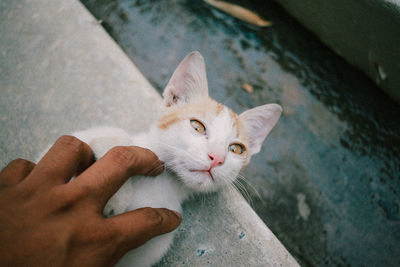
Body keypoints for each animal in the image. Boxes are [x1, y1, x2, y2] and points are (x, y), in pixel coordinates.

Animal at [70, 51, 282, 266]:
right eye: (197, 126)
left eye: (236, 149)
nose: (217, 158)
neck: (166, 183)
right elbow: (115, 135)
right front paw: (117, 195)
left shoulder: (145, 253)